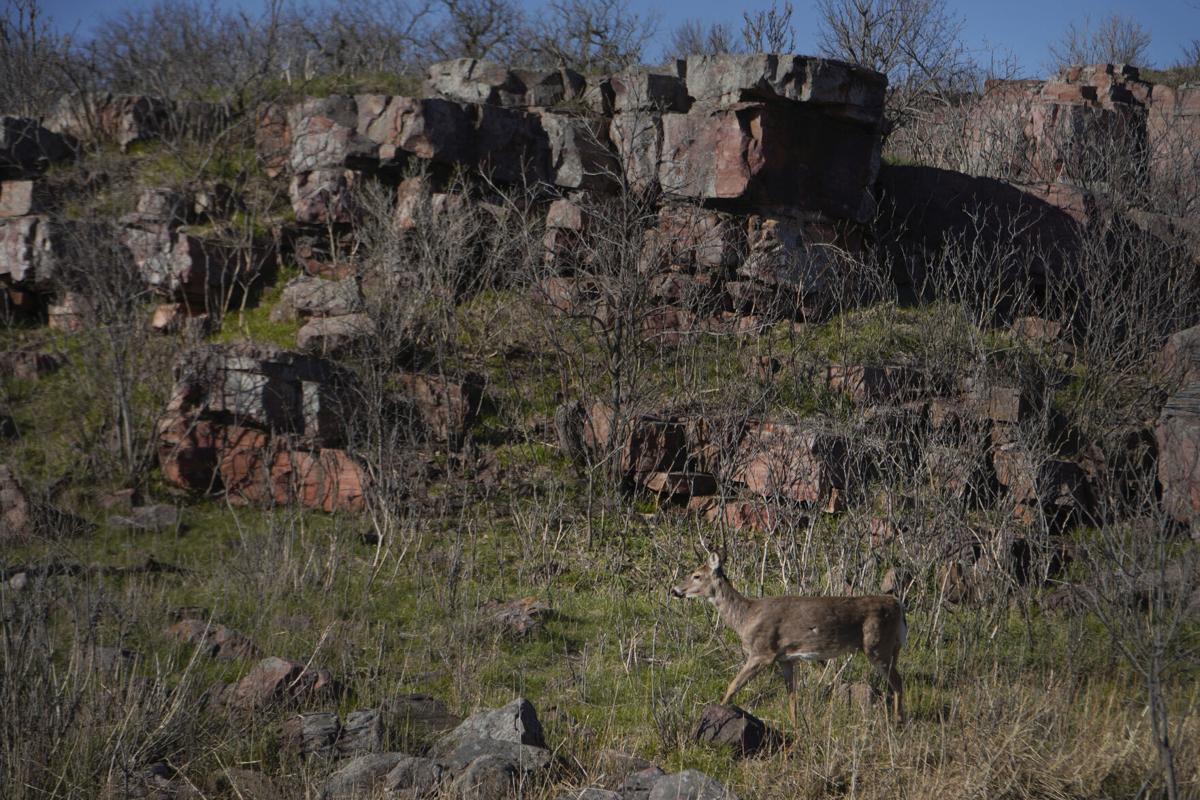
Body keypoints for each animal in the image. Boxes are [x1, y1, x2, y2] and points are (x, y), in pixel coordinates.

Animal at [672, 551, 902, 724]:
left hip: (877, 646)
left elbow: (732, 686)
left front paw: (715, 713)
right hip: (892, 647)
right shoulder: (785, 659)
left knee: (898, 683)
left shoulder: (762, 652)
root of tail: (897, 604)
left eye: (696, 575)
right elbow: (792, 698)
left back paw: (898, 723)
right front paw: (797, 727)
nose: (675, 590)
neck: (745, 617)